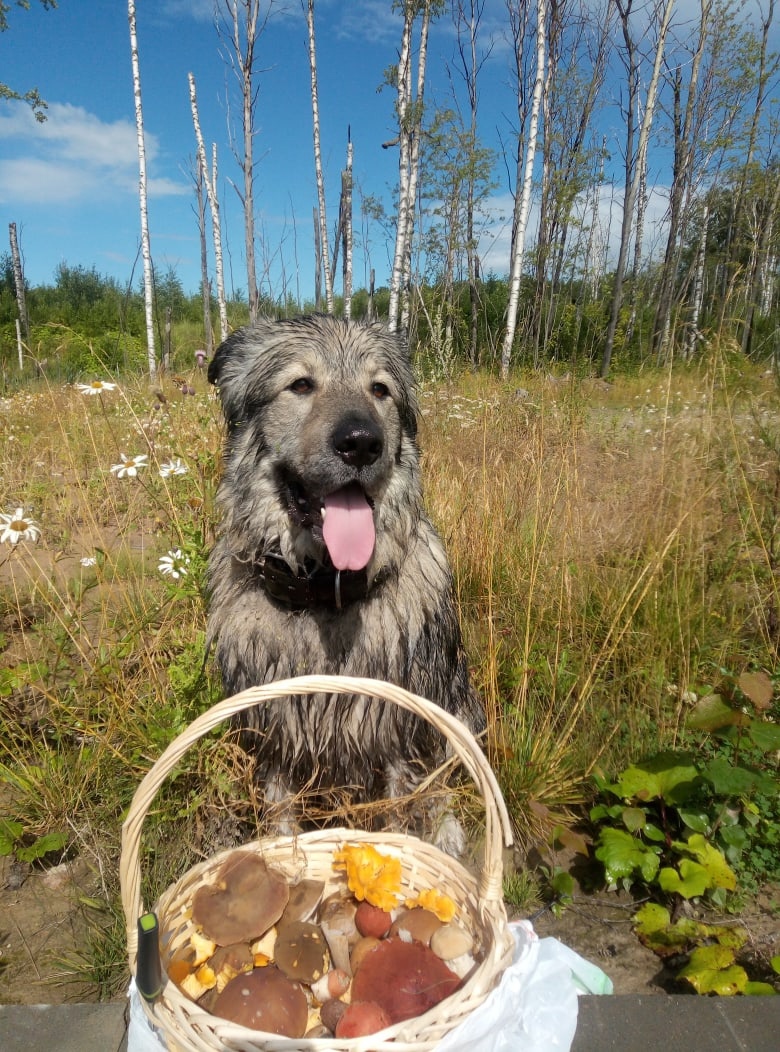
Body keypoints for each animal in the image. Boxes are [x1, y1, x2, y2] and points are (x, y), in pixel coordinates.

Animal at [205, 313, 480, 854]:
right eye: (300, 384)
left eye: (380, 390)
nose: (361, 442)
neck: (322, 595)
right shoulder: (274, 734)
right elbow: (280, 814)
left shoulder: (398, 733)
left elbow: (401, 814)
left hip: (457, 699)